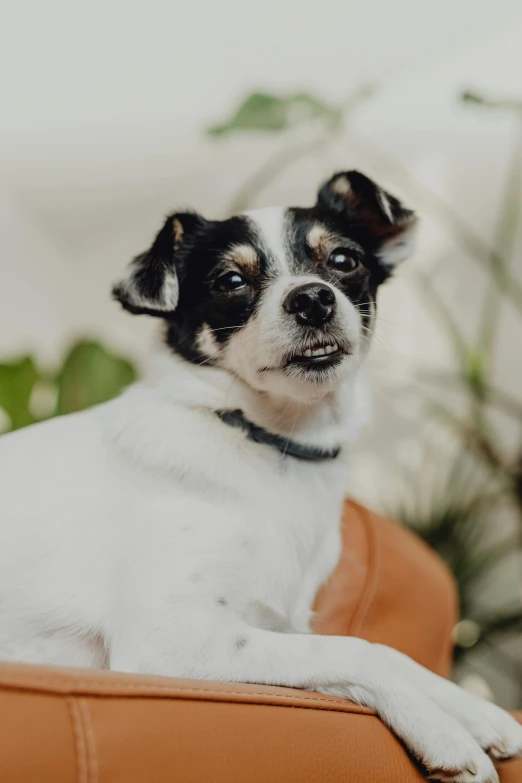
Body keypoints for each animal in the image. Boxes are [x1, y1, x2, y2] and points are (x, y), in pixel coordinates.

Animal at [0, 172, 516, 783]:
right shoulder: (172, 642)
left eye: (343, 260)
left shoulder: (272, 627)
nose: (313, 297)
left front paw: (476, 710)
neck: (270, 446)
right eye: (230, 280)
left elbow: (377, 653)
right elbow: (355, 649)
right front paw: (444, 733)